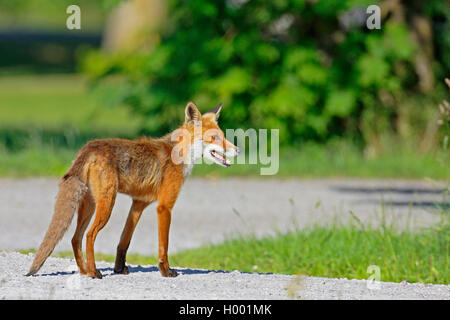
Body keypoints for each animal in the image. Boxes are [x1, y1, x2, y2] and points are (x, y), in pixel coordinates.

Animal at [25, 102, 239, 278]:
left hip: (90, 206)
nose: (238, 150)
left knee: (74, 238)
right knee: (89, 235)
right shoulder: (164, 207)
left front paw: (119, 269)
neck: (179, 153)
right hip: (106, 205)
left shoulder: (138, 204)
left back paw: (84, 271)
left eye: (224, 137)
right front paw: (165, 271)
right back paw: (93, 272)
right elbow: (164, 245)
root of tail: (89, 146)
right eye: (214, 138)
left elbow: (124, 241)